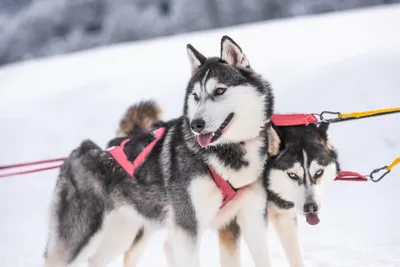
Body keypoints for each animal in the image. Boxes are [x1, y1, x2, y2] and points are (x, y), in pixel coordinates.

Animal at [43, 36, 276, 267]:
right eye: (195, 96)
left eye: (219, 90)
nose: (196, 124)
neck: (229, 150)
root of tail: (81, 150)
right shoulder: (187, 228)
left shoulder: (252, 220)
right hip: (78, 239)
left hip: (123, 232)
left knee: (96, 259)